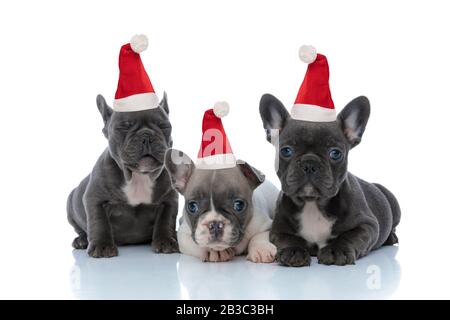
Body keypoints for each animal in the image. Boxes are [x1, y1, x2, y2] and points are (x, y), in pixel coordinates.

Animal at [67, 36, 179, 258]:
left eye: (164, 126)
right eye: (124, 126)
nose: (146, 136)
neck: (137, 177)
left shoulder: (169, 199)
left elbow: (166, 220)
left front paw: (166, 241)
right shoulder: (94, 198)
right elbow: (98, 221)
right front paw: (102, 246)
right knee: (81, 228)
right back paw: (82, 240)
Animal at [260, 45, 400, 264]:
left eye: (335, 153)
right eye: (286, 150)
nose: (309, 163)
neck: (312, 204)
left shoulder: (368, 225)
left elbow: (350, 236)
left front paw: (337, 250)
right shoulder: (277, 230)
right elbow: (288, 238)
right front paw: (293, 251)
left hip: (393, 202)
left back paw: (391, 237)